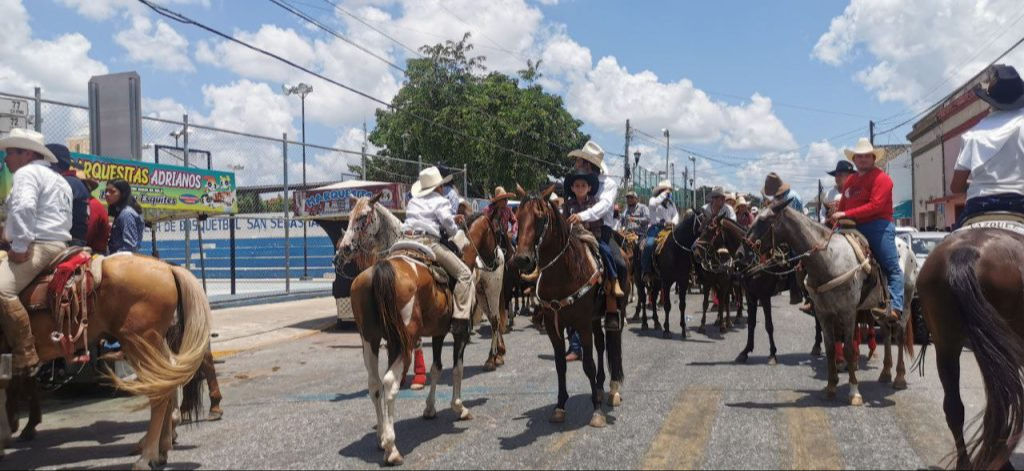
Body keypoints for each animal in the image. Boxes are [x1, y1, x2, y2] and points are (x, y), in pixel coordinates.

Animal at [0, 251, 210, 468]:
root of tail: (167, 268)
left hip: (139, 344)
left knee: (159, 392)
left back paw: (147, 457)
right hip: (152, 345)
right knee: (169, 381)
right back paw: (161, 448)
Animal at [509, 186, 622, 425]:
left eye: (541, 217)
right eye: (518, 216)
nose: (522, 259)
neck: (564, 273)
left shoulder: (582, 323)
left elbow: (588, 364)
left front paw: (596, 411)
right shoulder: (554, 325)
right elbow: (560, 365)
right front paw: (560, 406)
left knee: (613, 345)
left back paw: (613, 390)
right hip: (594, 319)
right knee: (601, 345)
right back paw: (599, 388)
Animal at [745, 198, 913, 405]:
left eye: (763, 220)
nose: (743, 248)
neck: (828, 259)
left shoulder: (848, 312)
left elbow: (848, 348)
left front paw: (854, 391)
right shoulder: (824, 313)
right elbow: (831, 348)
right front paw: (831, 386)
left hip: (905, 301)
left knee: (899, 333)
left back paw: (899, 377)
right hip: (879, 307)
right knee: (888, 334)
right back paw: (885, 372)